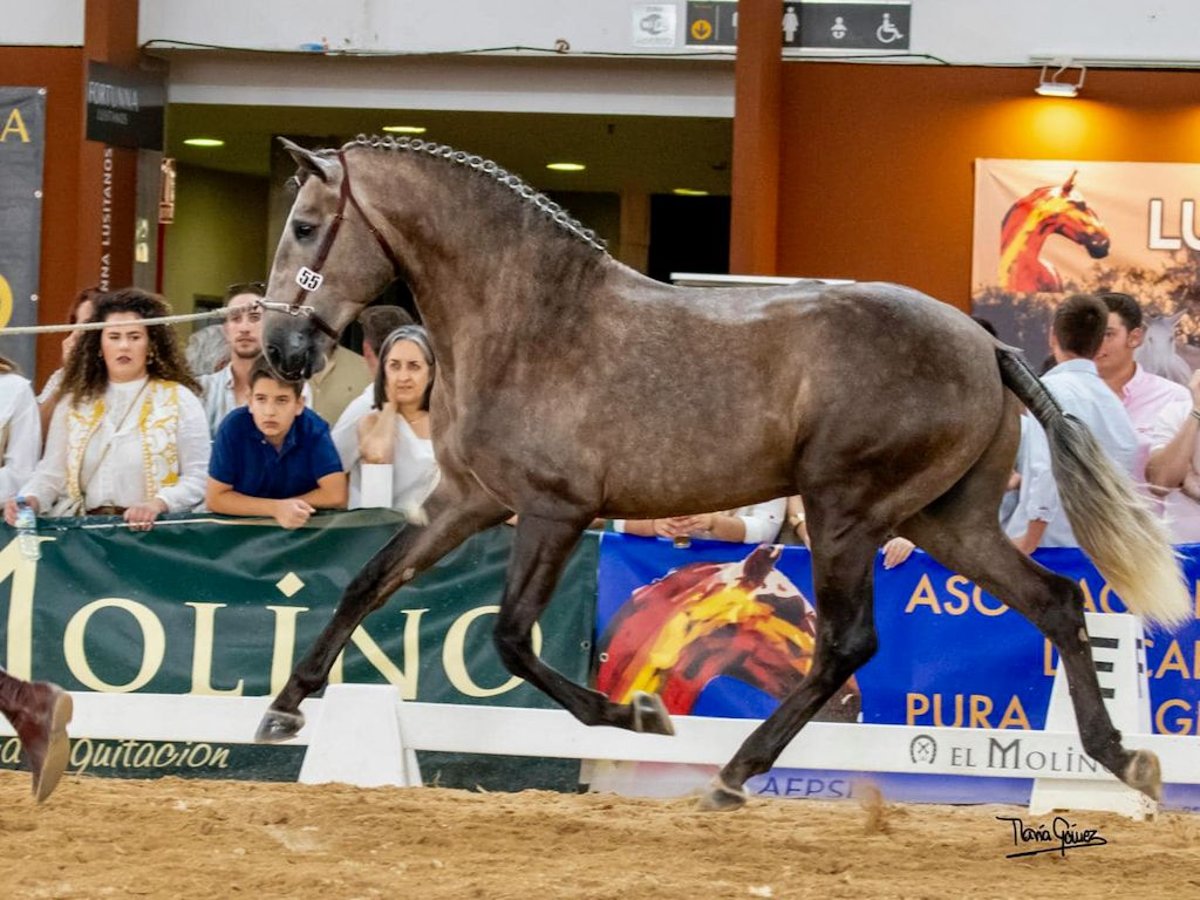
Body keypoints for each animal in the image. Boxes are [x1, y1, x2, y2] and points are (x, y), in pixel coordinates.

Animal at [255, 137, 1190, 816]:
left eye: (304, 226)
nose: (280, 349)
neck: (529, 321)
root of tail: (984, 345)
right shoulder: (469, 500)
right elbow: (369, 582)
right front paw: (287, 705)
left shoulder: (553, 513)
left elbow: (513, 638)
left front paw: (637, 714)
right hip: (944, 521)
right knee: (1056, 602)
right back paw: (1123, 761)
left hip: (848, 512)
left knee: (849, 643)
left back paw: (735, 773)